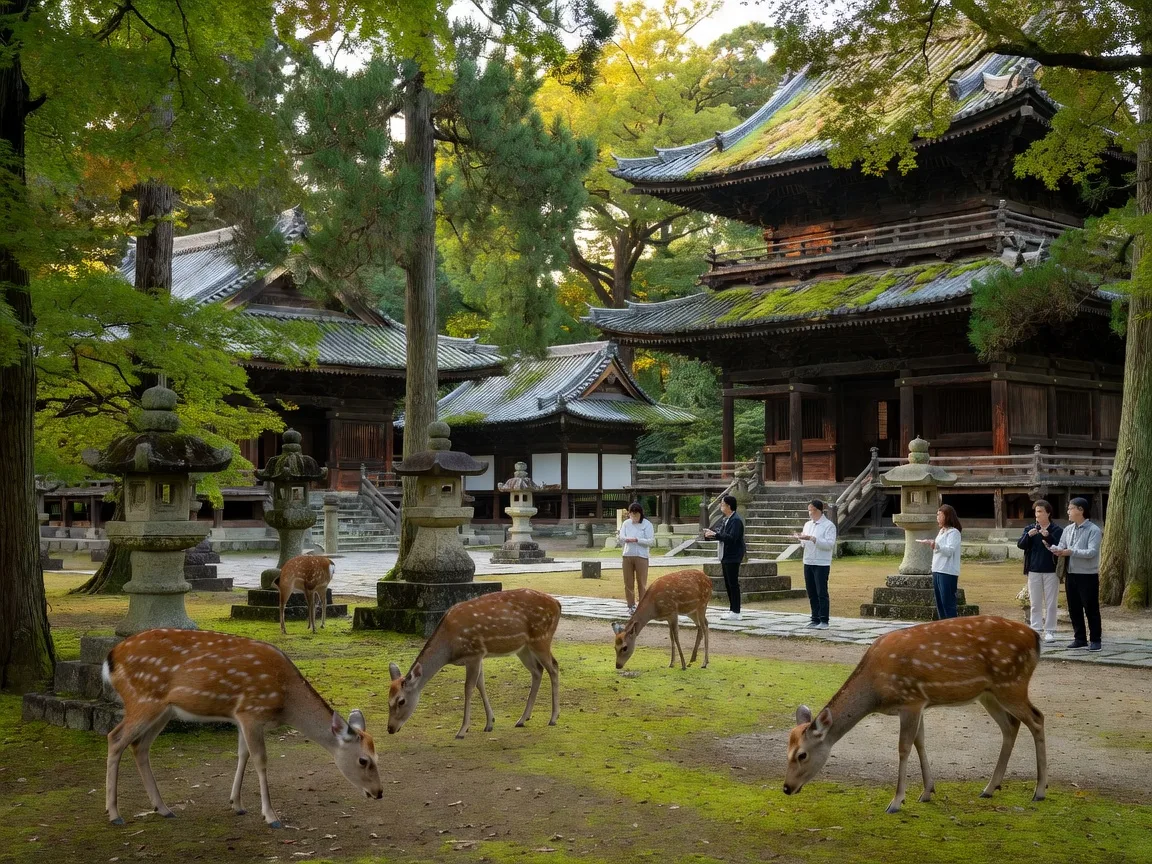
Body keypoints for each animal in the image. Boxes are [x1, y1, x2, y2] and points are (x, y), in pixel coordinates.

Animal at [102, 628, 382, 828]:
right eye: (363, 760)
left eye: (377, 756)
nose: (379, 792)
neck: (285, 701)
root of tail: (110, 658)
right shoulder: (251, 712)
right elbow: (260, 759)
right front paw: (271, 816)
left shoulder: (239, 716)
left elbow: (242, 754)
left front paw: (236, 803)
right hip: (143, 699)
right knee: (115, 737)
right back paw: (114, 814)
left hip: (164, 710)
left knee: (139, 745)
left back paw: (163, 808)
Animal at [387, 588, 561, 739]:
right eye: (388, 700)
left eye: (401, 701)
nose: (390, 728)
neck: (449, 648)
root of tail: (557, 604)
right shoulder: (478, 657)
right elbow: (480, 684)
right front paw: (489, 723)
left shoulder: (474, 653)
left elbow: (469, 688)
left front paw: (462, 730)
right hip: (523, 648)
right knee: (537, 670)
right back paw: (522, 719)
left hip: (541, 638)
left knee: (553, 667)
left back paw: (553, 718)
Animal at [783, 615, 1046, 814]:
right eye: (787, 751)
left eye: (802, 755)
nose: (786, 787)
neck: (875, 690)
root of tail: (1035, 637)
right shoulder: (920, 704)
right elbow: (921, 742)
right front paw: (927, 791)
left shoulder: (910, 700)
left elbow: (904, 747)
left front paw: (896, 801)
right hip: (988, 693)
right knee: (1010, 725)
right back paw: (990, 788)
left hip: (1011, 683)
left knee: (1037, 718)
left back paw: (1040, 791)